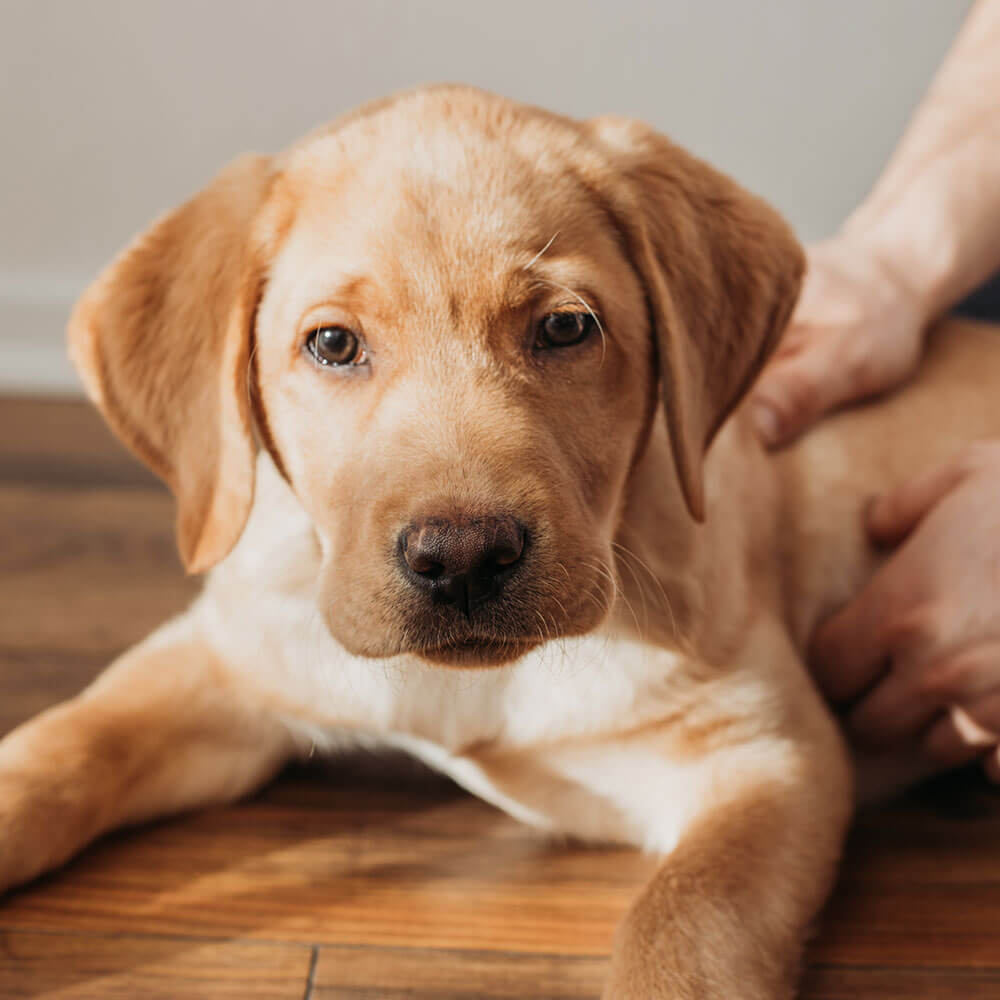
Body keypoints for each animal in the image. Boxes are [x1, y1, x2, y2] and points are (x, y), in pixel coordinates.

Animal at [3, 86, 996, 1000]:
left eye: (564, 326)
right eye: (333, 344)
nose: (464, 560)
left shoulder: (766, 754)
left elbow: (683, 922)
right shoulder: (221, 660)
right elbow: (57, 751)